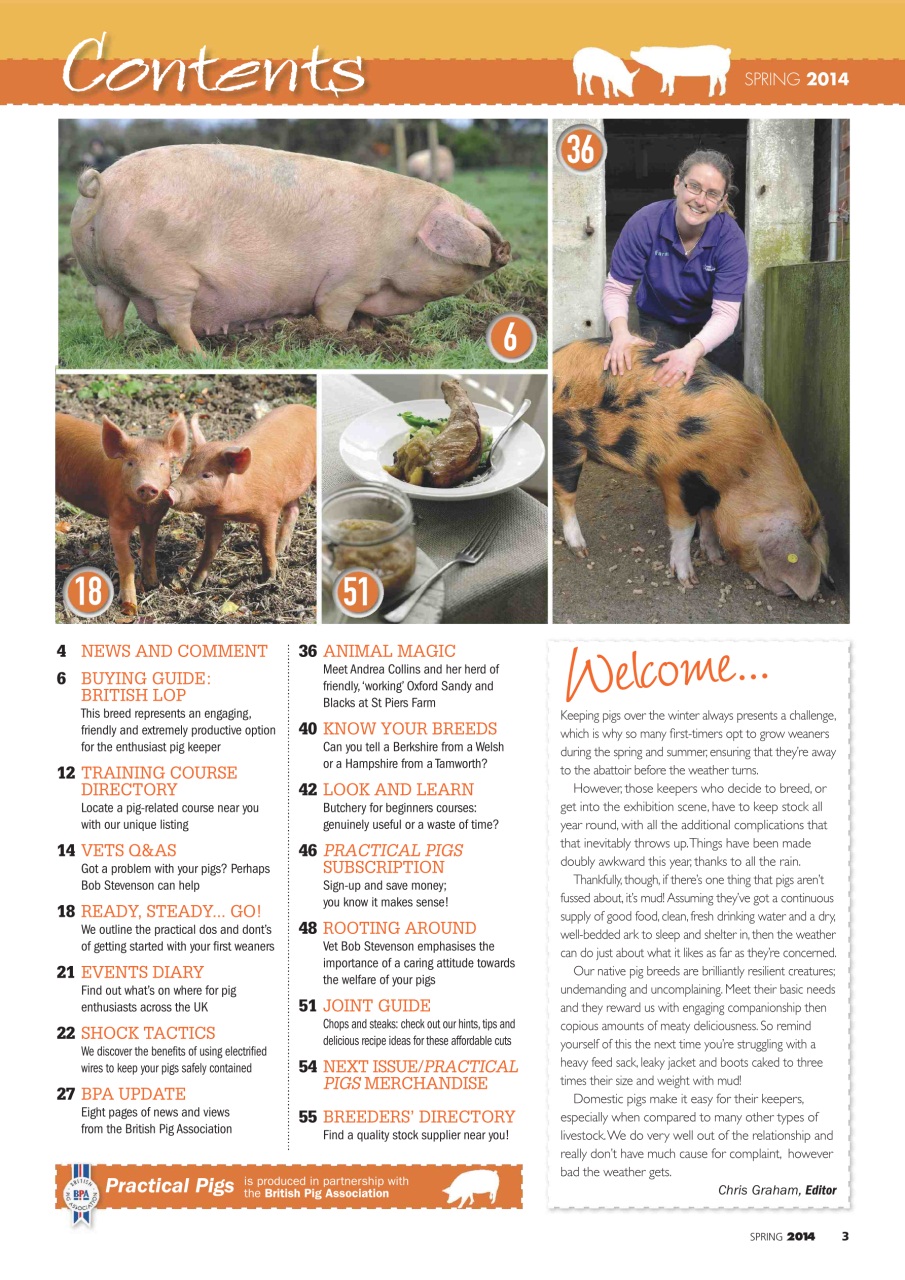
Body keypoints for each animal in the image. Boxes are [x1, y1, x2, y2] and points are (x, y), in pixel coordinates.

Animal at [55, 412, 188, 615]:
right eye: (130, 463)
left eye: (162, 463)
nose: (146, 485)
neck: (142, 510)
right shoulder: (116, 522)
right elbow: (126, 562)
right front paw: (130, 609)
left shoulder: (154, 519)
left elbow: (148, 550)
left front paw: (152, 584)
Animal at [70, 145, 511, 355]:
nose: (505, 249)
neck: (401, 237)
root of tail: (101, 185)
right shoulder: (345, 283)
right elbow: (334, 317)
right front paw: (338, 342)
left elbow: (365, 321)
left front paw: (371, 337)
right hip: (169, 278)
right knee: (172, 318)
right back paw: (205, 357)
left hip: (98, 276)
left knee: (109, 311)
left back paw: (119, 348)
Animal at [163, 404, 316, 590]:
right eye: (185, 468)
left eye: (207, 475)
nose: (168, 491)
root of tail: (311, 410)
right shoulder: (214, 517)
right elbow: (209, 549)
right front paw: (193, 586)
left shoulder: (270, 511)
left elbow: (264, 545)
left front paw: (268, 580)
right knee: (294, 508)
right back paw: (281, 550)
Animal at [552, 339, 832, 600]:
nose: (790, 594)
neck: (743, 469)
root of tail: (556, 359)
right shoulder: (678, 479)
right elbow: (684, 529)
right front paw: (688, 581)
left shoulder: (708, 489)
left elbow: (708, 520)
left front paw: (716, 559)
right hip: (566, 442)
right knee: (565, 495)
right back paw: (581, 549)